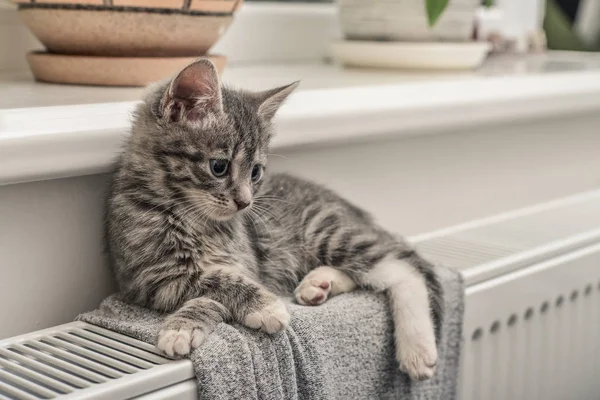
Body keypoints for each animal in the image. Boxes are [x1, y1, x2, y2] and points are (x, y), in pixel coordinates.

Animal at [105, 59, 442, 382]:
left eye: (255, 172)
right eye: (219, 167)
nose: (245, 202)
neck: (195, 220)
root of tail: (352, 209)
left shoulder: (246, 263)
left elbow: (222, 283)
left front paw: (256, 309)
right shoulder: (150, 279)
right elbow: (213, 282)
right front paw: (186, 326)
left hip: (325, 231)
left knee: (402, 269)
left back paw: (417, 347)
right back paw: (319, 284)